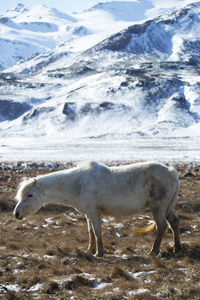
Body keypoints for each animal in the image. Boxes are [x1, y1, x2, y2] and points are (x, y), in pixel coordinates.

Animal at [13, 161, 180, 256]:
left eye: (30, 195)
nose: (16, 213)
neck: (77, 184)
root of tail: (172, 171)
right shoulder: (88, 213)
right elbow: (91, 232)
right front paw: (90, 250)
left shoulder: (93, 212)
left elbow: (97, 231)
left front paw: (99, 252)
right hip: (167, 208)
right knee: (174, 223)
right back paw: (176, 248)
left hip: (158, 208)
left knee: (162, 227)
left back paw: (154, 251)